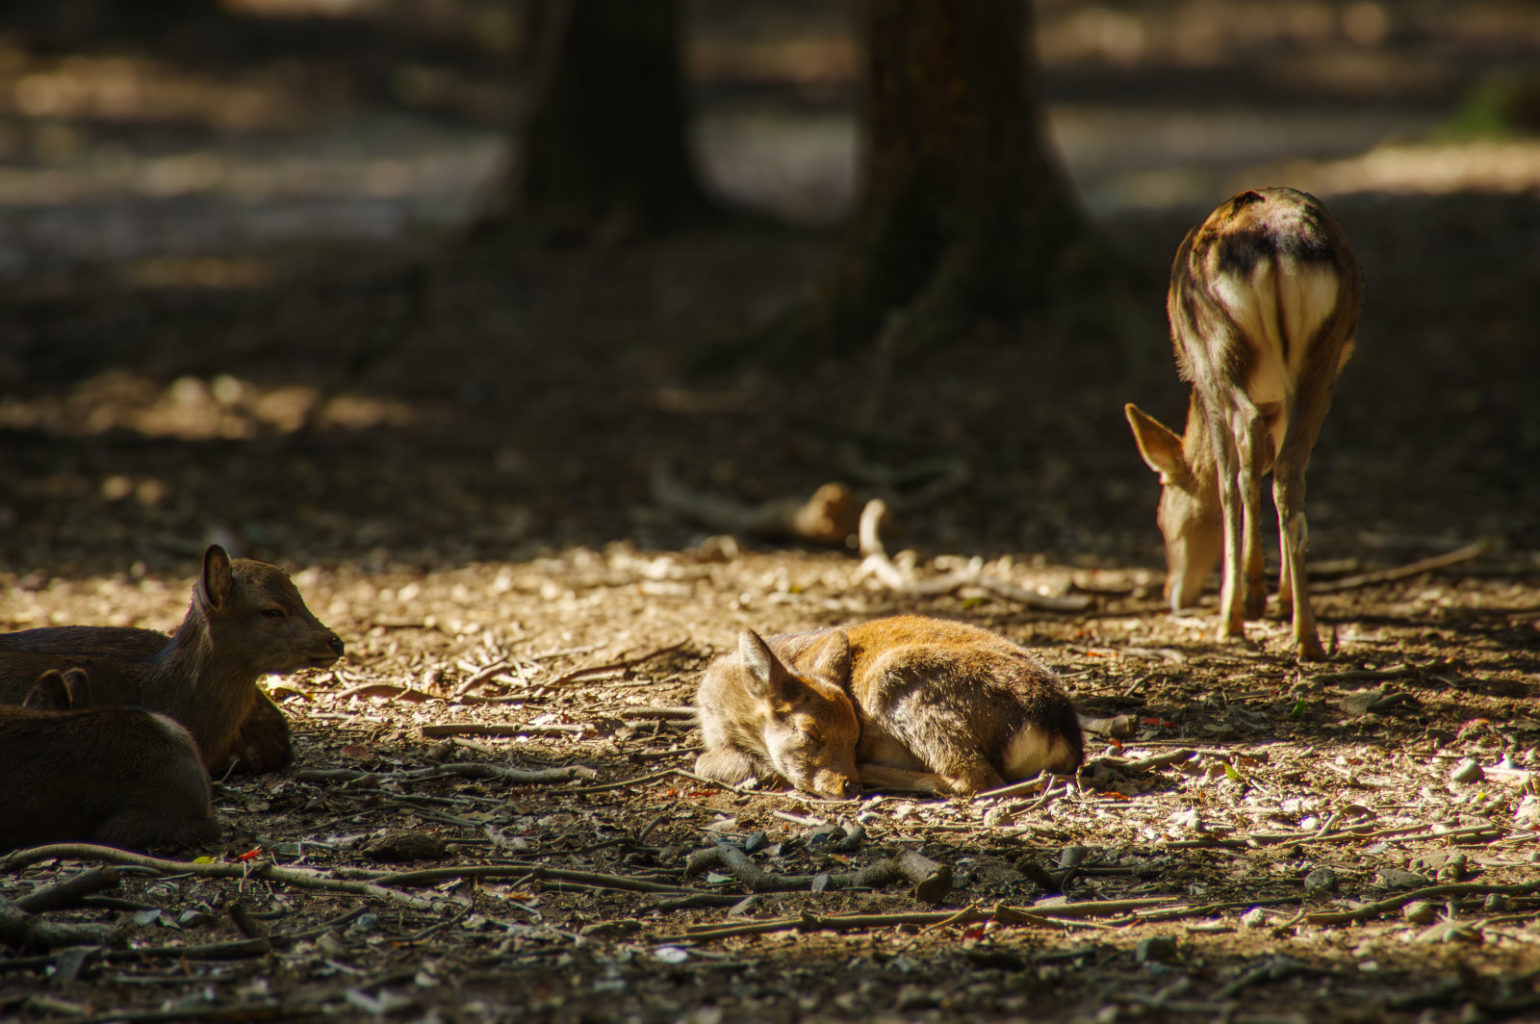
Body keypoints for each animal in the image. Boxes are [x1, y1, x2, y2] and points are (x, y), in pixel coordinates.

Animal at [699, 609, 1084, 794]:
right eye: (811, 734)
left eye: (855, 736)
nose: (848, 785)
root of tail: (1056, 729)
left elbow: (701, 763)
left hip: (897, 684)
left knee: (976, 777)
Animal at [1121, 187, 1361, 659]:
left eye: (1161, 518)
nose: (1171, 594)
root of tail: (1276, 250)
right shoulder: (1281, 398)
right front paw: (1279, 596)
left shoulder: (1207, 387)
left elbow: (1228, 477)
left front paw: (1249, 598)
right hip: (1321, 363)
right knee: (1288, 472)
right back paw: (1307, 635)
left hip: (1219, 352)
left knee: (1246, 447)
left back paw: (1235, 614)